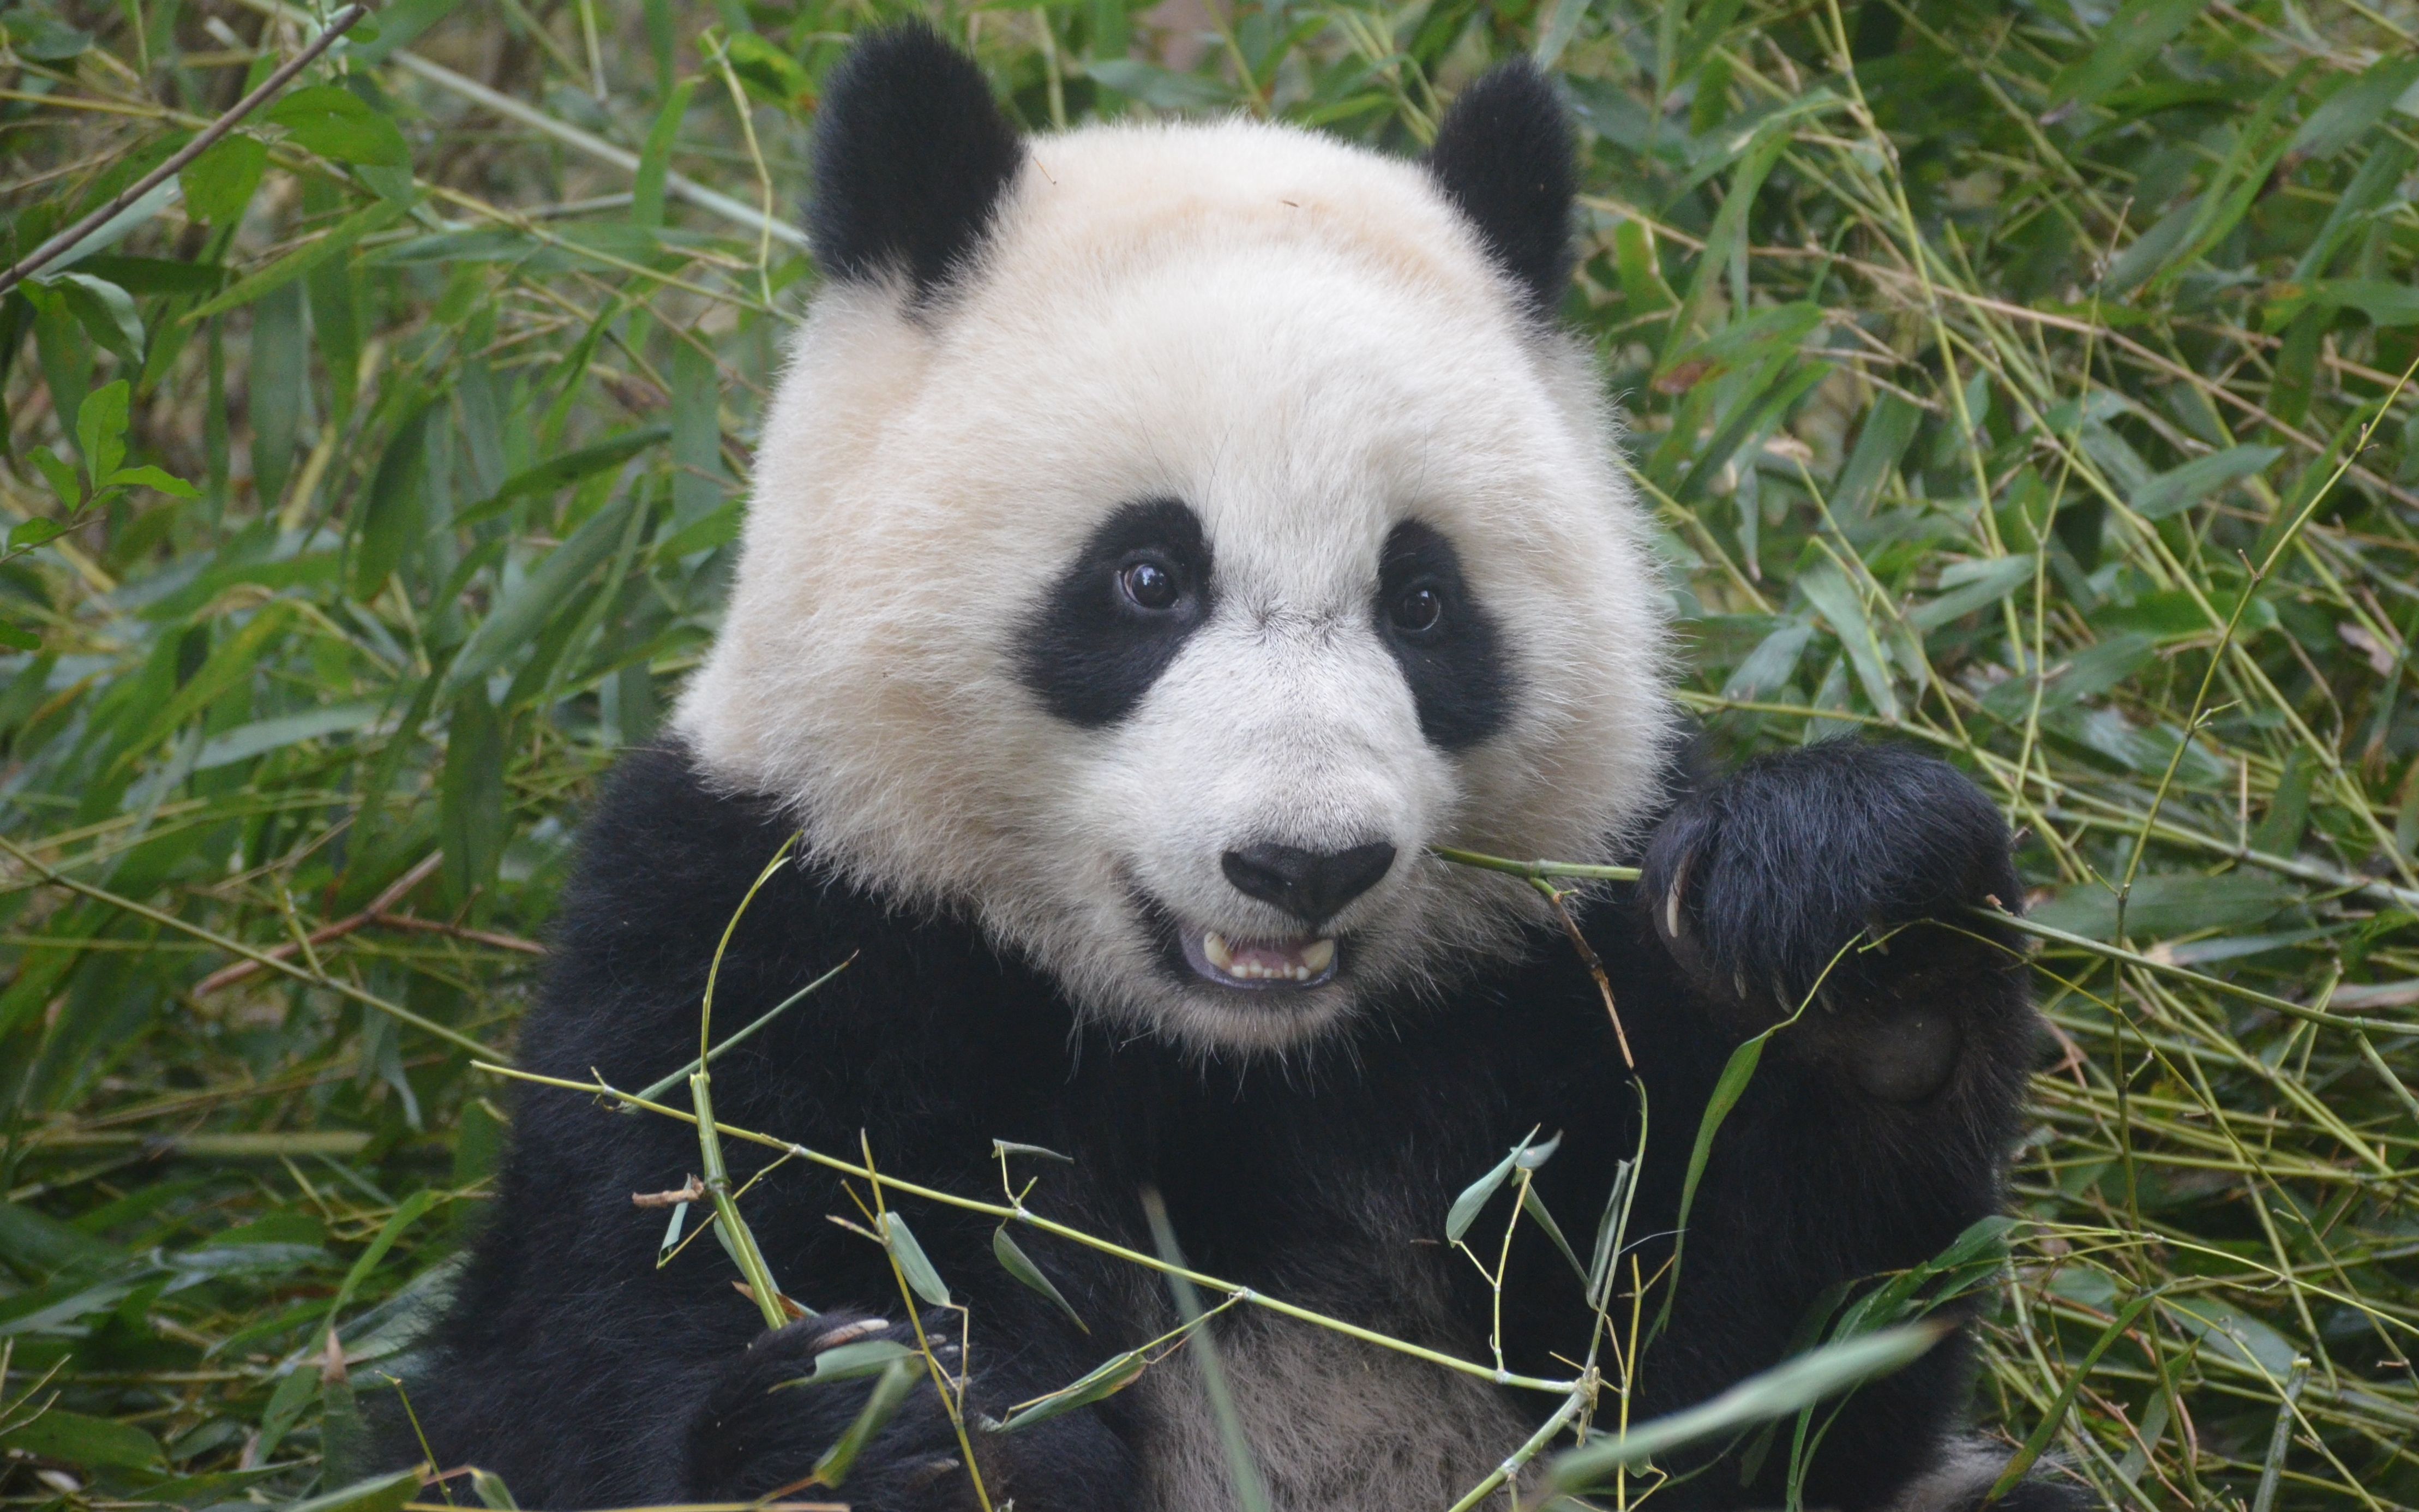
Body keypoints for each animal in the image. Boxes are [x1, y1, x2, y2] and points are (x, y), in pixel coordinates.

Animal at [411, 26, 2080, 1509]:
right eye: (1148, 578)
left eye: (1422, 599)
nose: (1303, 862)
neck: (1225, 1061)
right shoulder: (757, 947)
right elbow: (593, 1355)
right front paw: (903, 1424)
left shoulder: (1551, 983)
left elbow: (1743, 1397)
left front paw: (1859, 935)